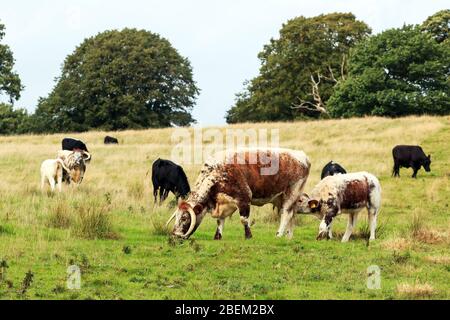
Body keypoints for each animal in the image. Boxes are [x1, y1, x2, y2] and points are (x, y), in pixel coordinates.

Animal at [167, 148, 312, 240]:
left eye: (184, 218)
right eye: (177, 217)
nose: (175, 235)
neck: (218, 172)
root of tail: (302, 156)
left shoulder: (244, 198)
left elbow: (244, 219)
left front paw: (248, 236)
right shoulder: (222, 203)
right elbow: (220, 220)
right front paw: (218, 236)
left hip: (291, 193)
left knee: (286, 213)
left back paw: (279, 234)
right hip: (284, 197)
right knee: (293, 214)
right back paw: (289, 236)